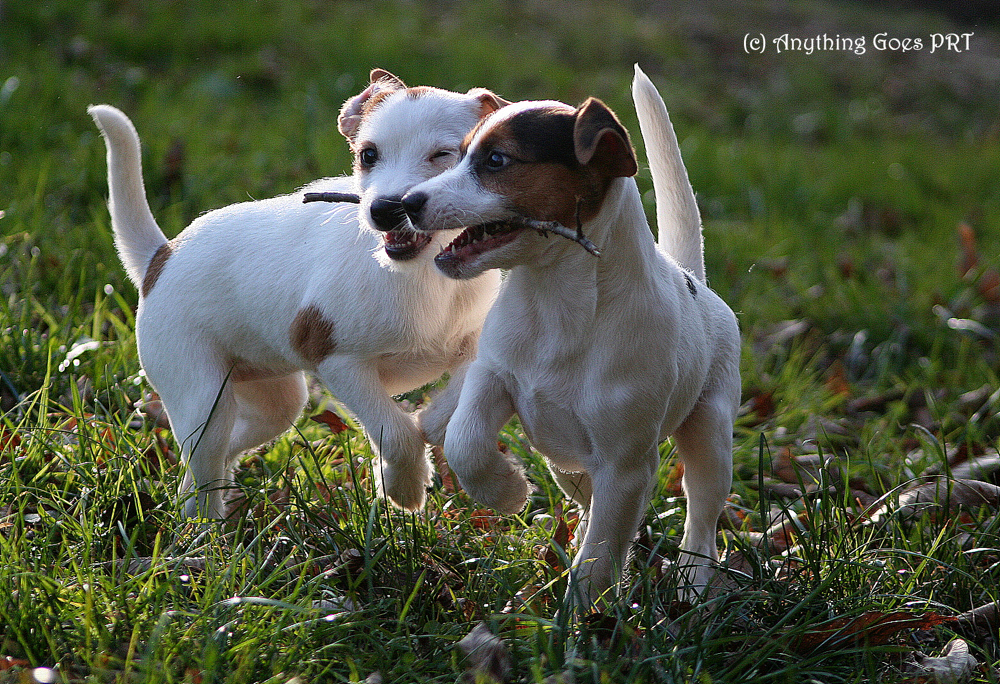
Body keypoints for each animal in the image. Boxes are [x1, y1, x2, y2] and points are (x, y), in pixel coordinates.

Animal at [91, 71, 508, 520]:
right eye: (368, 155)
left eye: (443, 155)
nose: (384, 210)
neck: (423, 275)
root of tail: (161, 257)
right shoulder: (338, 361)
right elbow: (394, 431)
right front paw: (405, 485)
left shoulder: (473, 348)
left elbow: (451, 398)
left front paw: (429, 425)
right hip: (203, 397)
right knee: (204, 463)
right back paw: (205, 529)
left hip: (273, 400)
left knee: (219, 456)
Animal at [402, 65, 740, 608]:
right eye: (460, 153)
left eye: (496, 160)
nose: (406, 203)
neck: (555, 305)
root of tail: (695, 279)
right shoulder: (493, 375)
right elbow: (464, 440)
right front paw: (508, 492)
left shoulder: (625, 466)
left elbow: (601, 555)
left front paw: (583, 618)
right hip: (564, 461)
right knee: (589, 501)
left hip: (709, 427)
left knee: (701, 511)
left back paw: (695, 578)